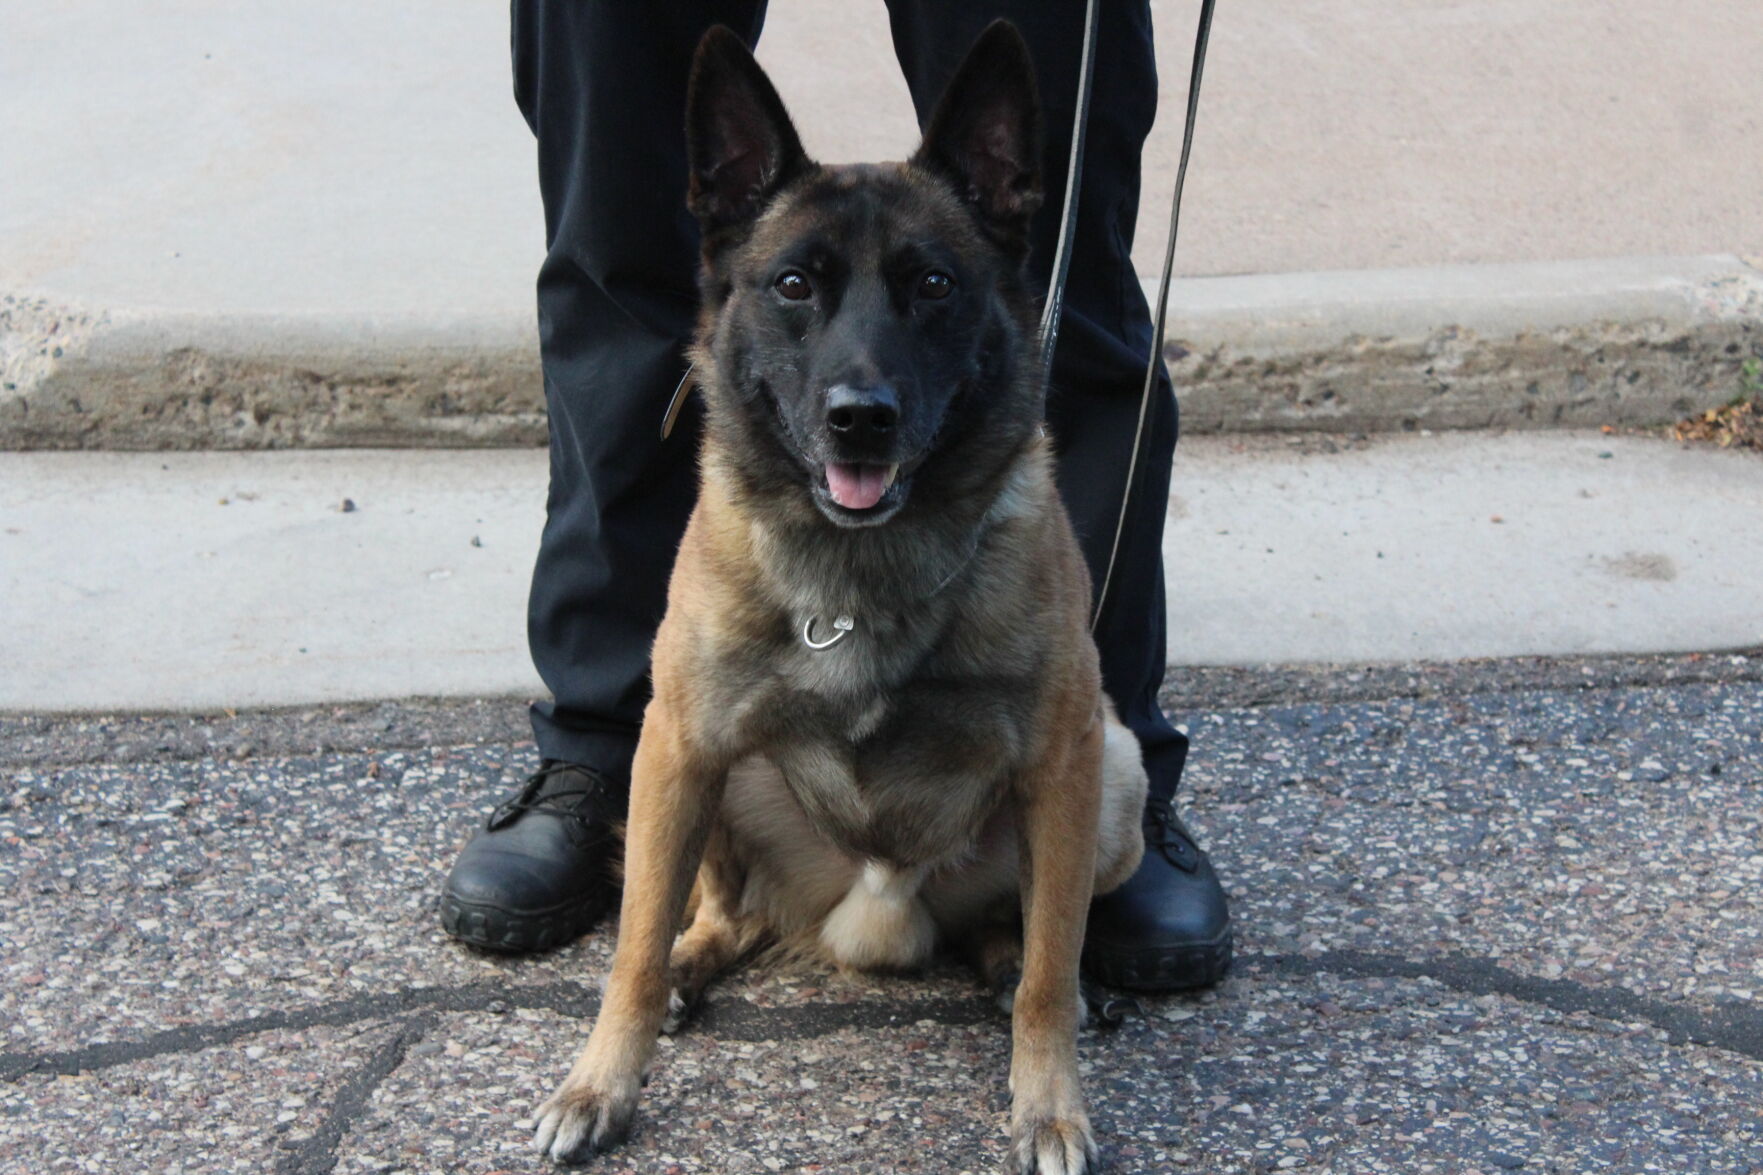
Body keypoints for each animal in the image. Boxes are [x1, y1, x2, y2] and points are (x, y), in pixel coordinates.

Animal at [528, 20, 1149, 1171]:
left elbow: (1051, 969)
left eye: (934, 285)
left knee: (1023, 929)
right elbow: (627, 950)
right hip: (694, 779)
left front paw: (1047, 1104)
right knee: (712, 914)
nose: (861, 416)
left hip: (1115, 781)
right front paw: (599, 1082)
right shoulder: (677, 741)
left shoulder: (1064, 760)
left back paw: (1005, 958)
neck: (863, 569)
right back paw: (691, 961)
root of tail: (866, 914)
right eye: (792, 285)